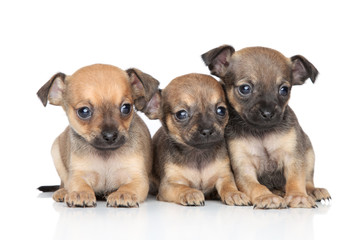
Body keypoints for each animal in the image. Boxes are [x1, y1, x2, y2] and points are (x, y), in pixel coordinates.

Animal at [37, 64, 160, 207]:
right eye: (83, 111)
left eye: (126, 108)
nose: (110, 135)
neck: (105, 155)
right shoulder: (78, 175)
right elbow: (77, 184)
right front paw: (81, 193)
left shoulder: (137, 178)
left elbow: (129, 186)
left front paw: (124, 194)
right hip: (55, 150)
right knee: (64, 182)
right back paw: (62, 191)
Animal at [148, 73, 250, 206]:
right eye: (181, 114)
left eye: (221, 110)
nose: (207, 130)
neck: (198, 154)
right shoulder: (169, 185)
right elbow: (182, 188)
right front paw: (190, 193)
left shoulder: (224, 176)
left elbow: (228, 186)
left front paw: (235, 194)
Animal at [201, 45, 330, 208]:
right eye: (245, 88)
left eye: (284, 90)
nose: (268, 113)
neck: (261, 132)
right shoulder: (244, 167)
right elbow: (256, 186)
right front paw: (266, 197)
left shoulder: (292, 158)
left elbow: (295, 179)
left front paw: (298, 196)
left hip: (309, 152)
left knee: (307, 180)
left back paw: (313, 191)